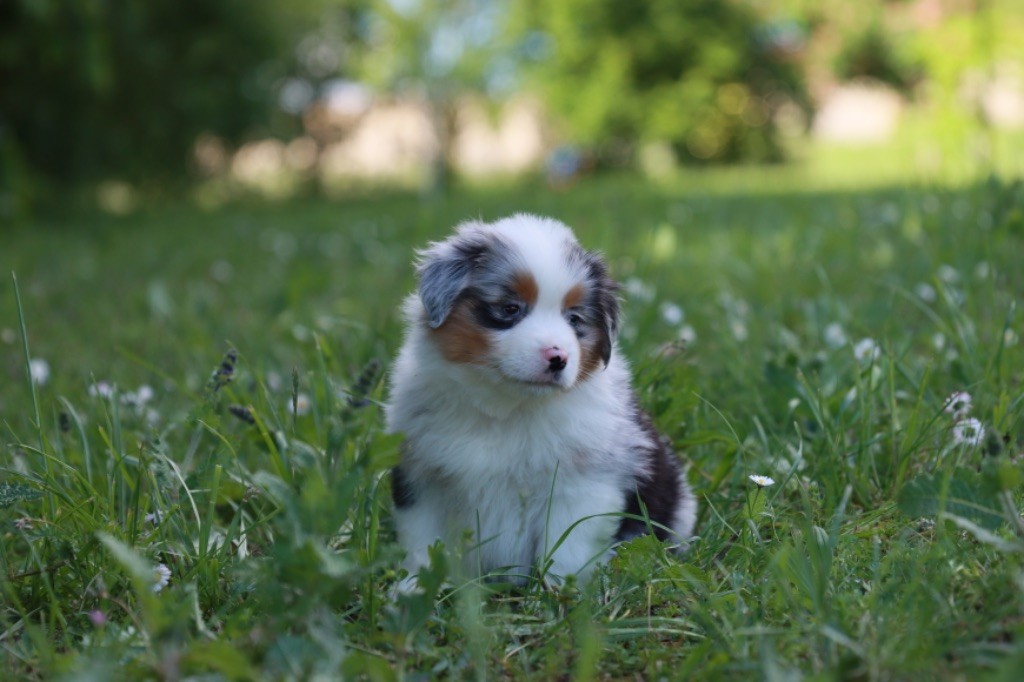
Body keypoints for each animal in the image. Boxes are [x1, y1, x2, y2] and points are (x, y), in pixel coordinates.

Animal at [385, 212, 696, 585]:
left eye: (574, 318)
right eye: (510, 308)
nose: (558, 358)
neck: (506, 408)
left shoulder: (582, 486)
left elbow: (567, 548)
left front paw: (561, 590)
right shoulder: (421, 476)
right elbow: (422, 539)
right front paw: (415, 585)